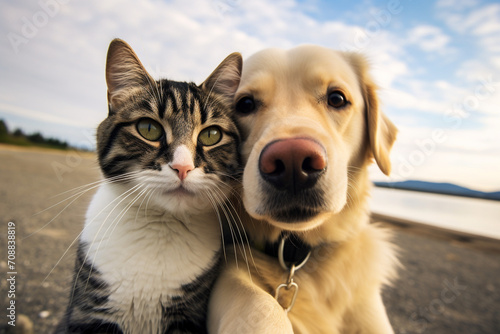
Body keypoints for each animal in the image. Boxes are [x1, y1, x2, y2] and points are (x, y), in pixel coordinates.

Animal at [53, 37, 241, 332]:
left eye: (212, 135)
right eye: (148, 129)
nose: (183, 167)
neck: (160, 225)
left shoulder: (186, 316)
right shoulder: (90, 313)